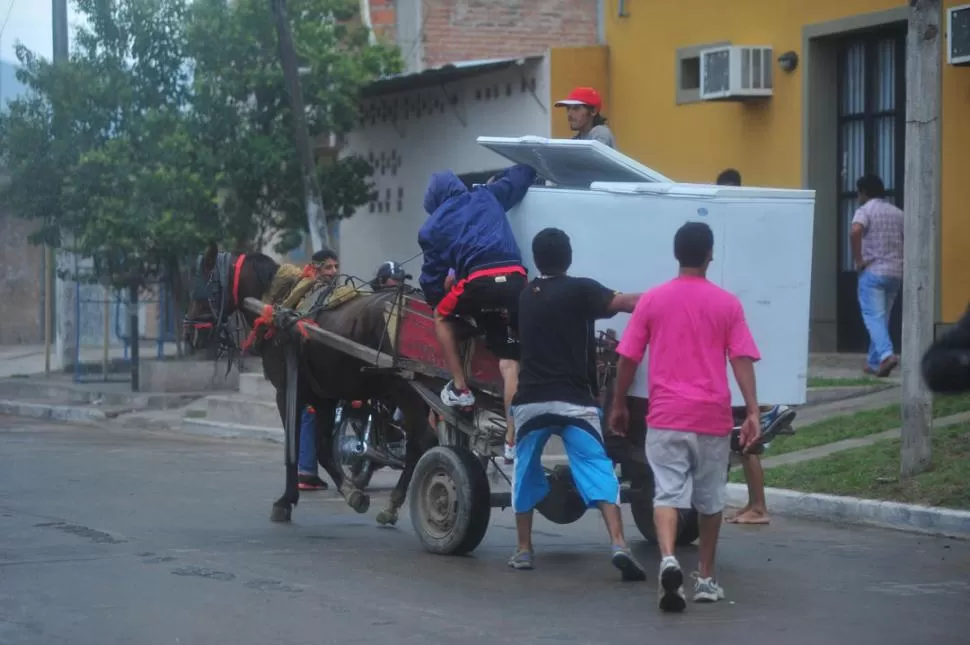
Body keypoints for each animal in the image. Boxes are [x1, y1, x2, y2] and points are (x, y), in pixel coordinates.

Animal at [184, 244, 432, 524]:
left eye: (201, 286)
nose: (189, 333)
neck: (280, 304)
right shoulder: (324, 396)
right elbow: (323, 448)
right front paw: (352, 493)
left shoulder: (287, 391)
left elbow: (294, 444)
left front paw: (285, 501)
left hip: (407, 392)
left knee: (421, 443)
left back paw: (397, 502)